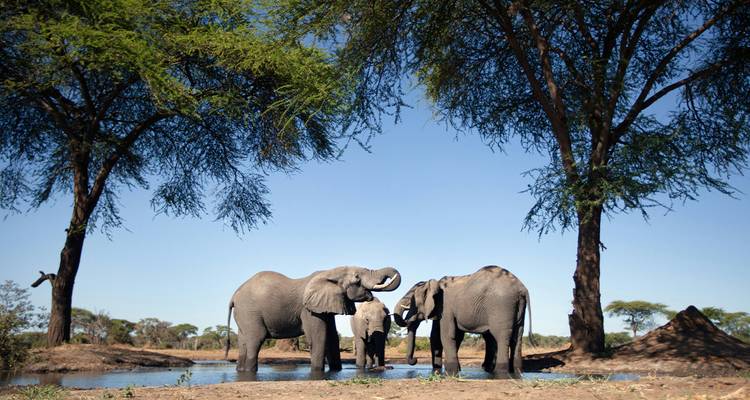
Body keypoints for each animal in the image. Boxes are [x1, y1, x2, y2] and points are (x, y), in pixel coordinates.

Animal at [225, 266, 401, 373]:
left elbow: (332, 337)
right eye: (357, 278)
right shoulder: (309, 309)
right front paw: (317, 372)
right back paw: (250, 371)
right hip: (250, 312)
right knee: (255, 339)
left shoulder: (326, 307)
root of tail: (234, 294)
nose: (388, 368)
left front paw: (336, 371)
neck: (331, 272)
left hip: (243, 314)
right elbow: (319, 337)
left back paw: (240, 370)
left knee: (243, 341)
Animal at [393, 265, 532, 378]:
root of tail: (522, 289)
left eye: (411, 302)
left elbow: (446, 336)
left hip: (501, 305)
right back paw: (517, 372)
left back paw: (500, 373)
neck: (435, 283)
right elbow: (439, 337)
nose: (415, 360)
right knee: (517, 337)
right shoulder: (441, 309)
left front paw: (451, 373)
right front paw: (440, 372)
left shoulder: (446, 307)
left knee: (501, 337)